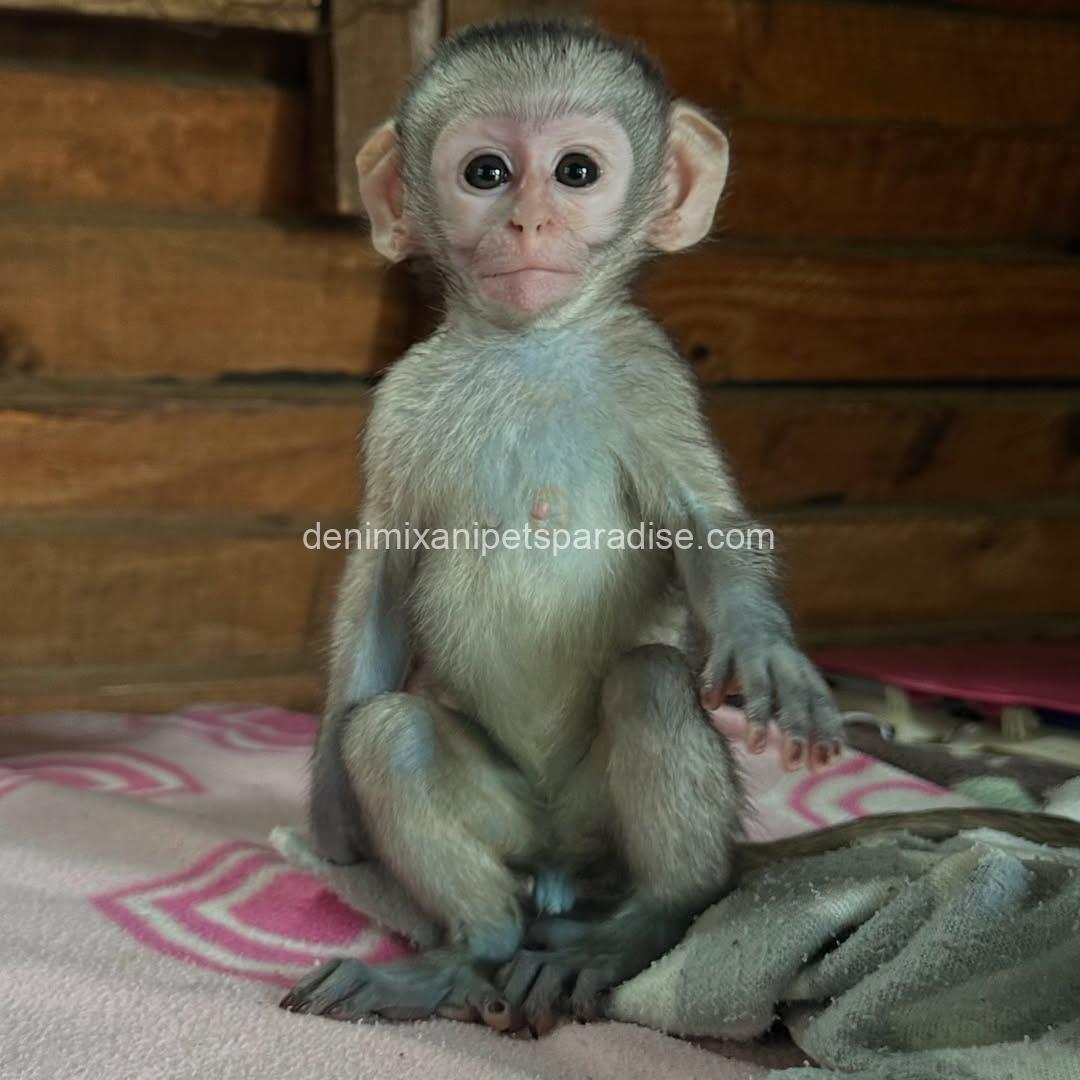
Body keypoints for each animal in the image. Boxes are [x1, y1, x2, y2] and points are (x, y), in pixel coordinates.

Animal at [279, 20, 1080, 1037]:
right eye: (486, 172)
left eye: (576, 171)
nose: (527, 223)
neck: (527, 346)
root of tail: (560, 869)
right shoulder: (399, 405)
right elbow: (382, 572)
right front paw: (330, 813)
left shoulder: (650, 374)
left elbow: (708, 529)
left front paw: (766, 652)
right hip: (519, 831)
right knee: (389, 732)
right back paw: (467, 951)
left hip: (606, 835)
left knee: (652, 685)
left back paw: (639, 927)